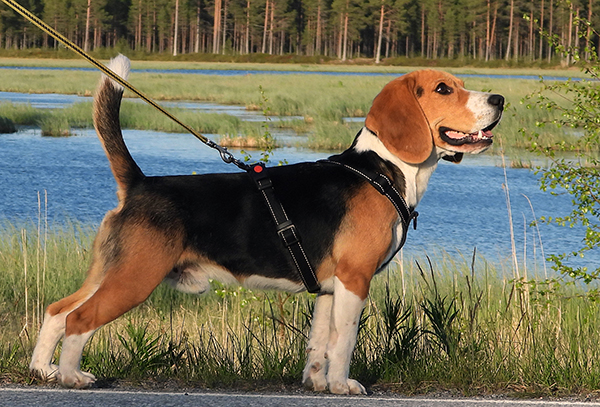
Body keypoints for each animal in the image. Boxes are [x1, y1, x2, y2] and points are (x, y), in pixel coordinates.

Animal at [30, 55, 504, 394]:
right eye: (444, 89)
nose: (499, 99)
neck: (382, 169)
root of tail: (140, 183)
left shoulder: (330, 287)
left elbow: (320, 342)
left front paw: (317, 383)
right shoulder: (355, 278)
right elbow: (344, 340)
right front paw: (342, 385)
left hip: (109, 270)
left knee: (57, 311)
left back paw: (43, 370)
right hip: (134, 277)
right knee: (79, 320)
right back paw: (71, 376)